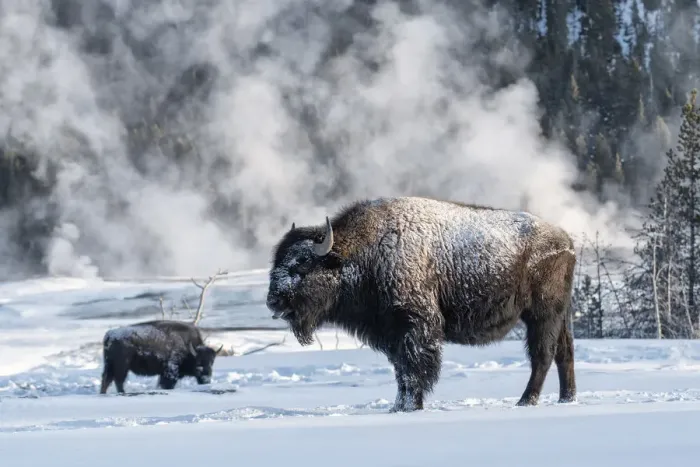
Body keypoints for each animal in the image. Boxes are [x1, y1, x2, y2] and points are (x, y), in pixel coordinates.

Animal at [266, 196, 577, 412]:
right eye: (277, 261)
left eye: (302, 264)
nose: (273, 302)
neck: (363, 253)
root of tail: (566, 241)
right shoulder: (392, 334)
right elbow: (401, 372)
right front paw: (398, 407)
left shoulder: (415, 327)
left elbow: (414, 369)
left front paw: (410, 406)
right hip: (559, 315)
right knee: (564, 353)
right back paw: (566, 399)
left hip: (541, 314)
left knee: (542, 355)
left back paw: (526, 401)